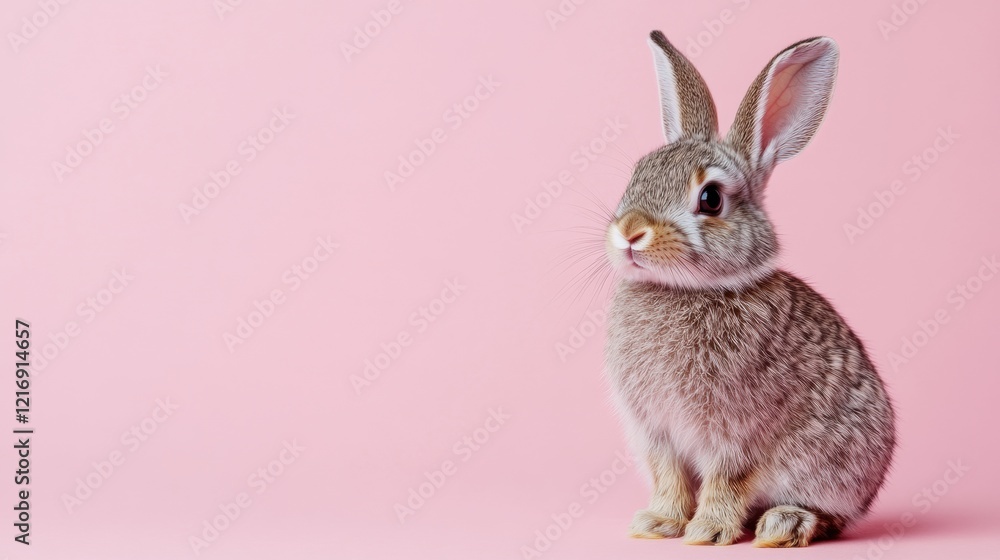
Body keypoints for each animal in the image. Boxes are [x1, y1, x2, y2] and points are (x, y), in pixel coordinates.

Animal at [603, 31, 895, 547]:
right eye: (638, 174)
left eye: (711, 199)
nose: (631, 232)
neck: (688, 290)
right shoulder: (657, 432)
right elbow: (668, 476)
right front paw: (657, 524)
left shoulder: (736, 433)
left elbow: (727, 480)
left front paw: (706, 532)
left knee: (832, 517)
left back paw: (784, 524)